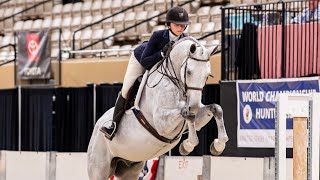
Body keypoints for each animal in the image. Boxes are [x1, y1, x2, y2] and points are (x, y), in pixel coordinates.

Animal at [87, 37, 228, 179]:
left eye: (208, 75)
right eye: (189, 72)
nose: (193, 106)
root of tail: (97, 125)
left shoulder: (196, 117)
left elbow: (215, 109)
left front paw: (218, 145)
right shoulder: (162, 123)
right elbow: (187, 114)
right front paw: (187, 145)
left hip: (130, 168)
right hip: (99, 168)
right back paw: (109, 129)